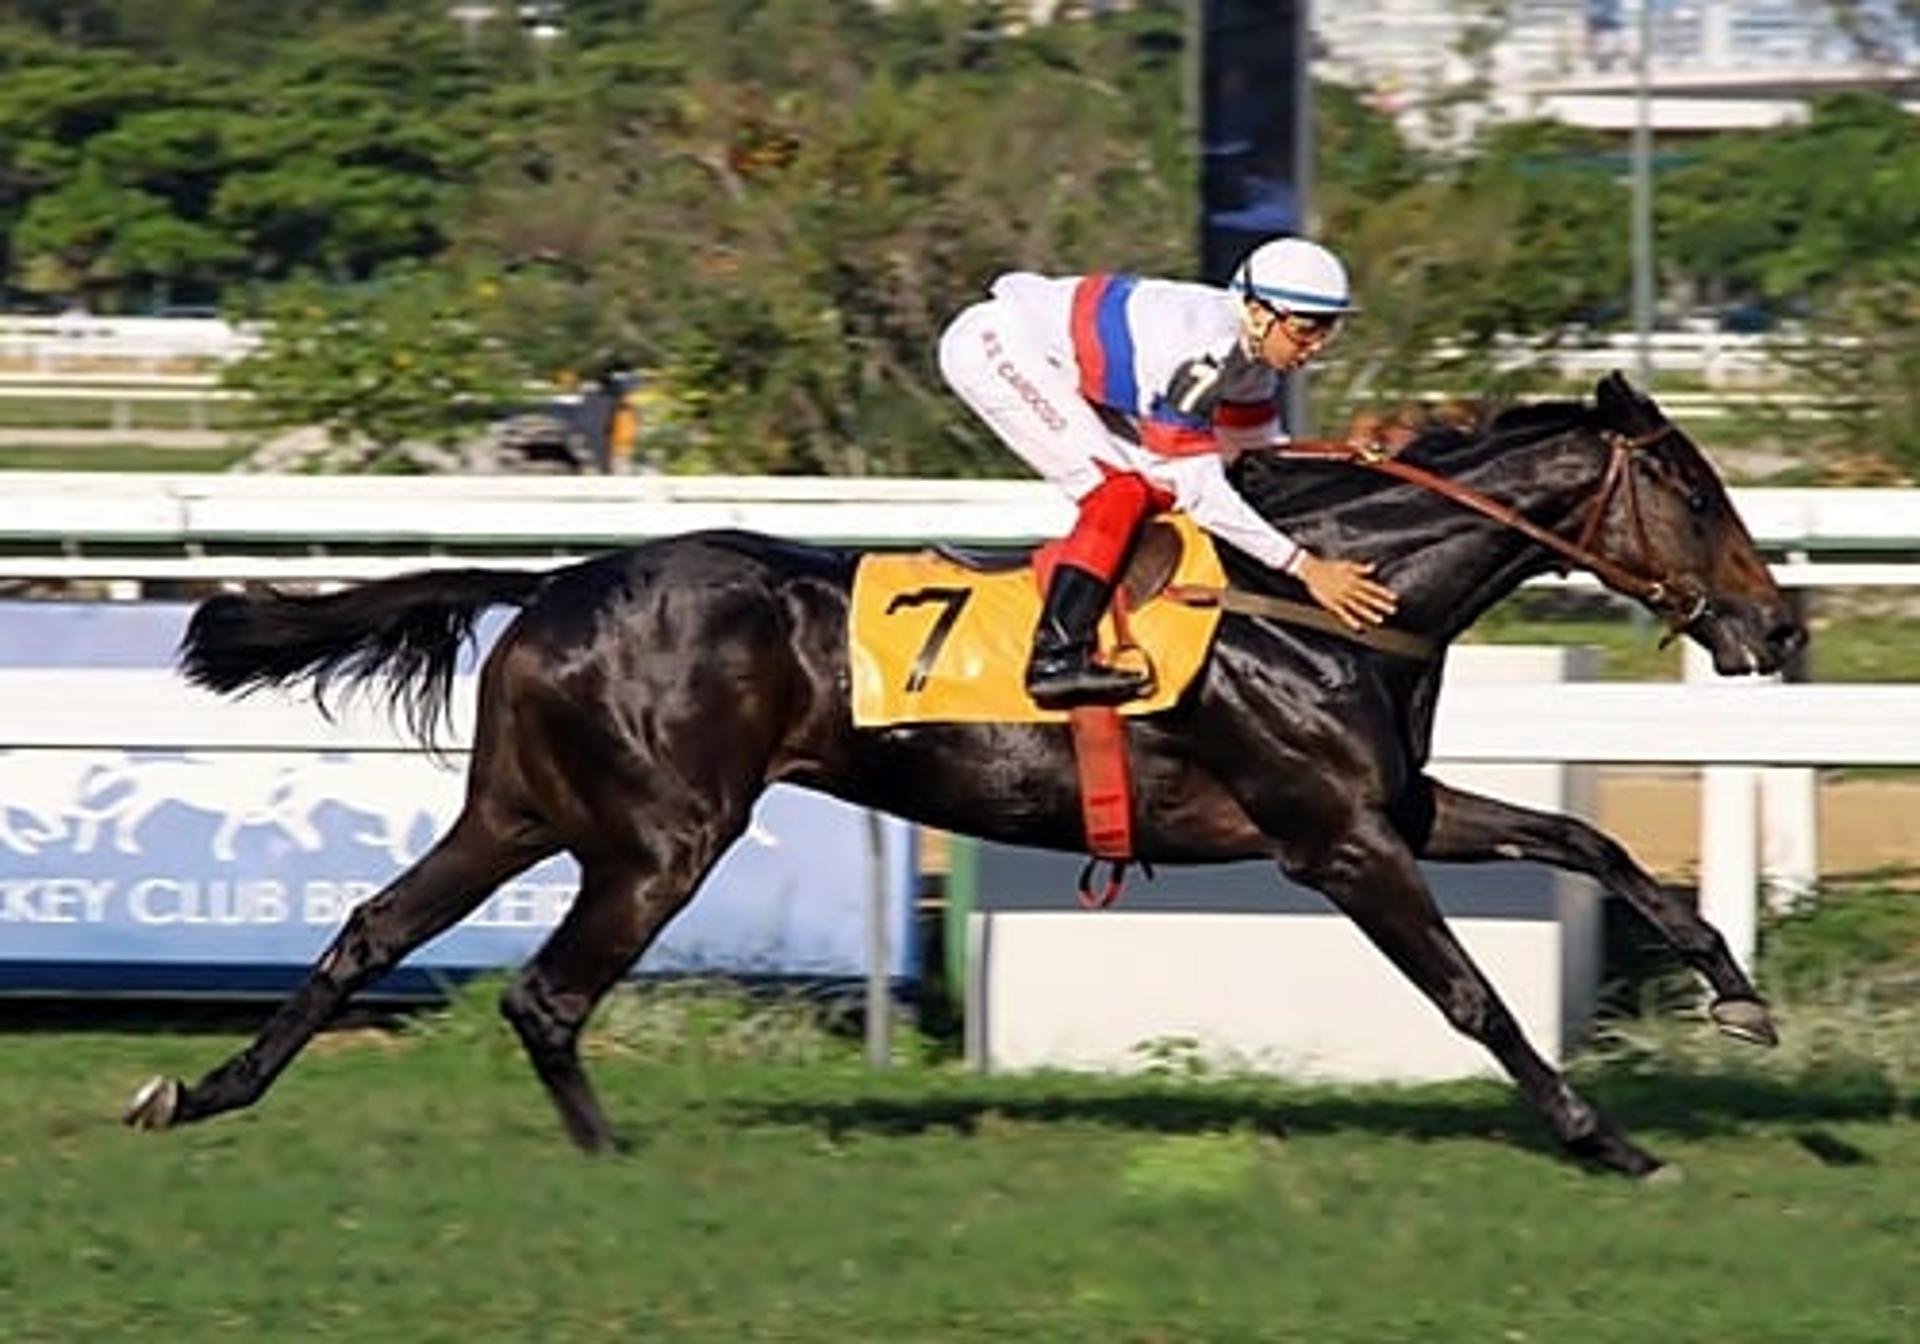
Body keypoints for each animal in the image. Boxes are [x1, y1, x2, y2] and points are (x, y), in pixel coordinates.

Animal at [127, 376, 1804, 1175]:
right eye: (1696, 490)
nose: (1781, 624)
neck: (1315, 593)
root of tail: (554, 579)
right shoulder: (1336, 839)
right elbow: (1471, 997)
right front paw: (1608, 1140)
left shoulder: (1397, 804)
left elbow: (1594, 849)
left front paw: (1735, 989)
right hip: (663, 837)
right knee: (543, 992)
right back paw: (610, 1161)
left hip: (522, 807)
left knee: (370, 933)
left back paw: (197, 1093)